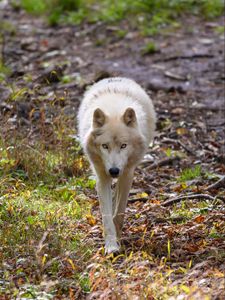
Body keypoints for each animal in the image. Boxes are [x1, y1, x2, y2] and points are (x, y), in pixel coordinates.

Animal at [78, 77, 156, 253]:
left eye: (123, 146)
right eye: (105, 146)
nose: (113, 170)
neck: (113, 109)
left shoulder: (127, 174)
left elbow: (119, 214)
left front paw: (118, 239)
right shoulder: (102, 177)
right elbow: (106, 217)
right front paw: (111, 246)